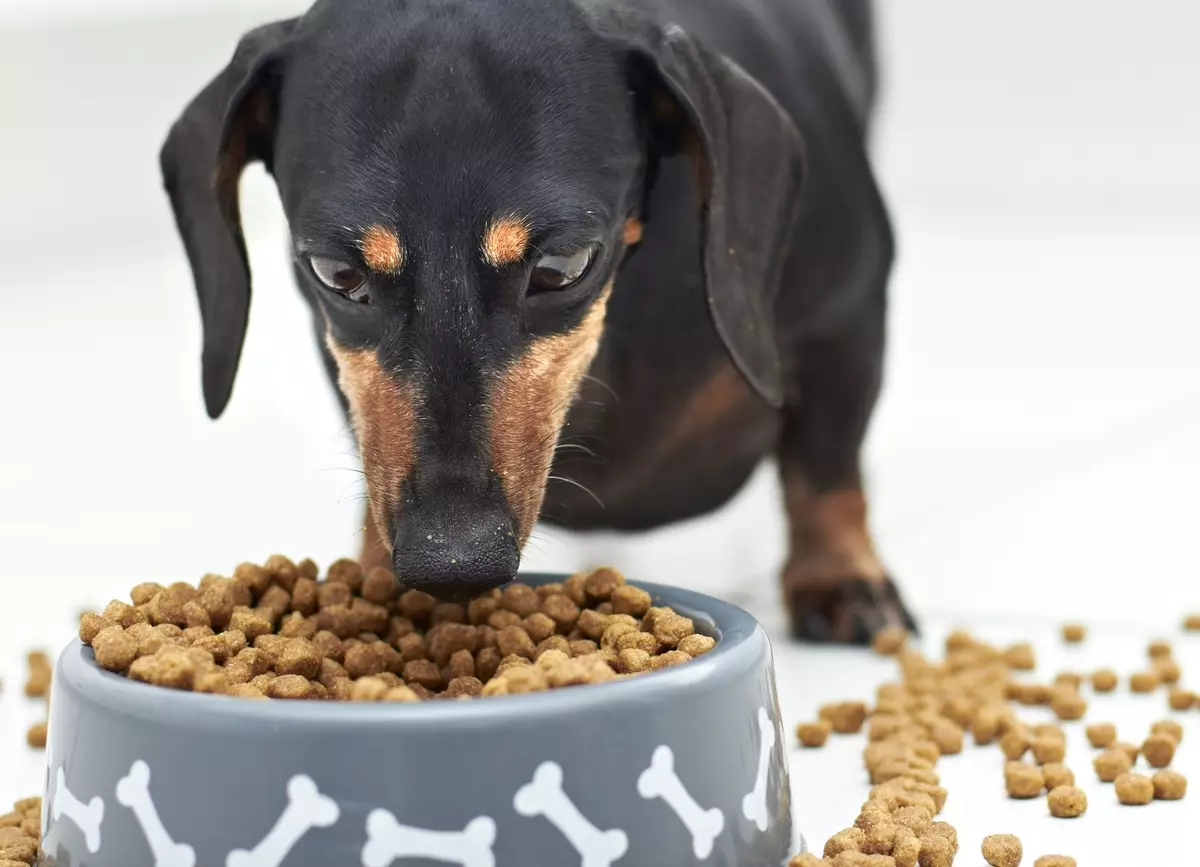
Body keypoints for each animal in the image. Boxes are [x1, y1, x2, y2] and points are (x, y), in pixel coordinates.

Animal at [157, 0, 907, 643]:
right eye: (336, 274)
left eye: (564, 264)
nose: (450, 562)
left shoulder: (844, 317)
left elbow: (827, 466)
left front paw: (839, 577)